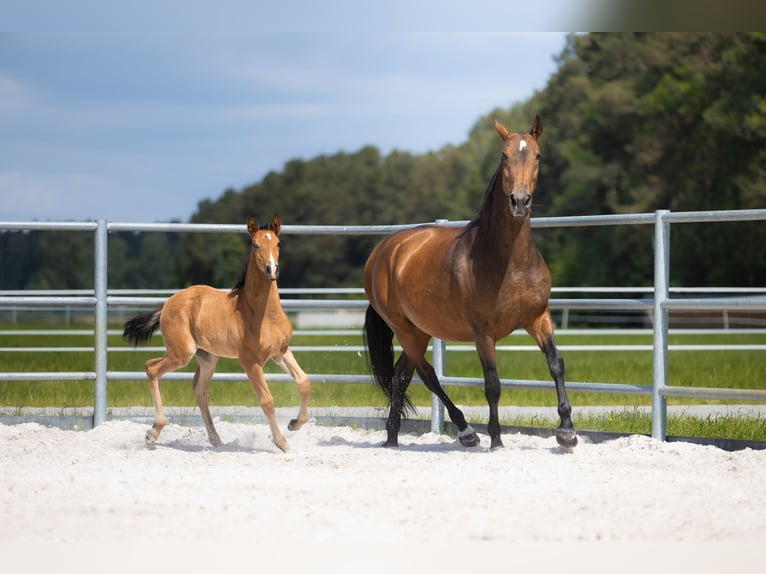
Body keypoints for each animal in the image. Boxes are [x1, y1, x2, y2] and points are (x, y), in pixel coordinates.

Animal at [122, 214, 311, 452]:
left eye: (278, 243)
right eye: (255, 244)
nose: (271, 270)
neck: (263, 315)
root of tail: (167, 303)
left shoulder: (280, 352)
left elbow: (304, 381)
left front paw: (294, 424)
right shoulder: (250, 361)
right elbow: (267, 401)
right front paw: (282, 443)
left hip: (207, 358)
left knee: (200, 390)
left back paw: (216, 440)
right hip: (181, 352)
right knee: (151, 368)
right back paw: (153, 432)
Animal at [363, 115, 577, 451]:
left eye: (538, 155)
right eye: (504, 156)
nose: (519, 201)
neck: (509, 262)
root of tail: (384, 251)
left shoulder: (538, 318)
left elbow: (556, 363)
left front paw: (567, 431)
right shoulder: (482, 333)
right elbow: (492, 384)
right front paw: (496, 439)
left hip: (419, 330)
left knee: (401, 376)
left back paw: (392, 439)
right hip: (404, 329)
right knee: (428, 375)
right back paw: (466, 431)